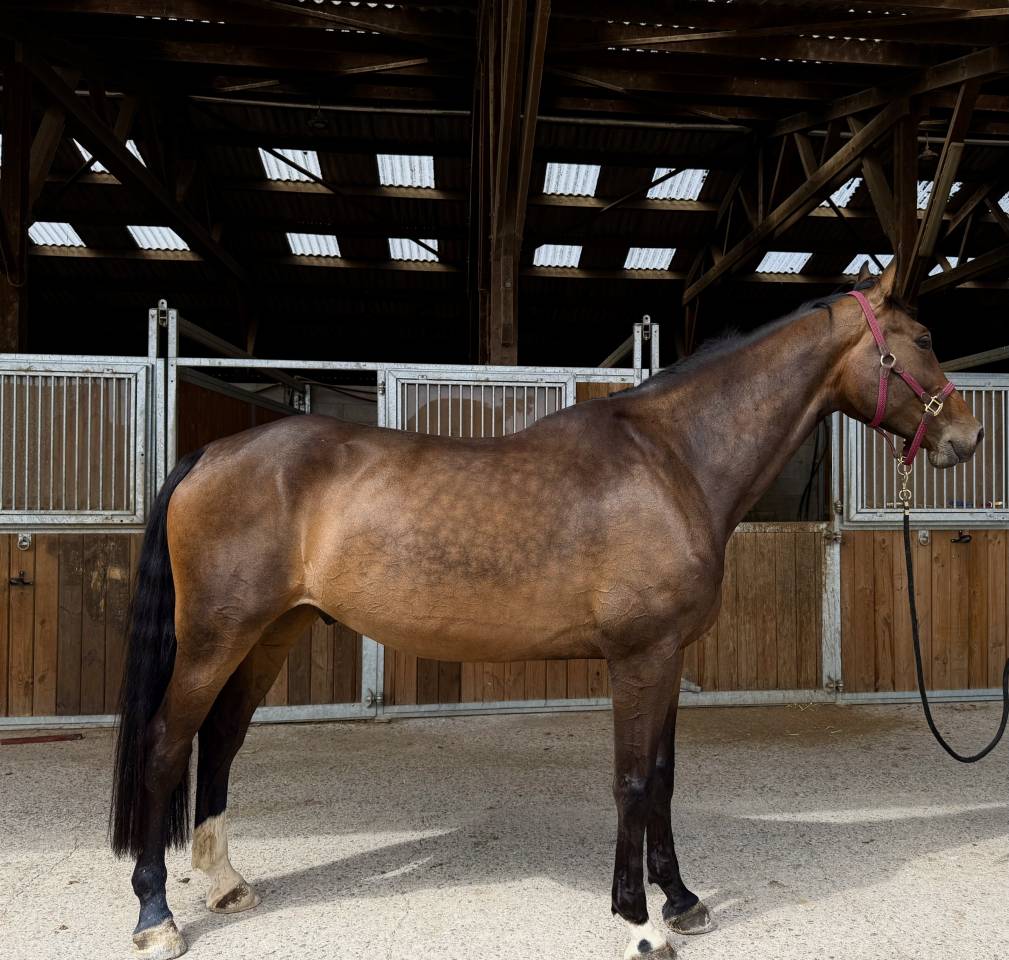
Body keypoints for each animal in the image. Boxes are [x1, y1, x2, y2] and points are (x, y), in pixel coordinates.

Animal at [110, 260, 982, 960]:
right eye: (923, 337)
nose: (968, 437)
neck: (674, 461)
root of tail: (211, 455)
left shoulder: (668, 659)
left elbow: (662, 778)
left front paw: (682, 901)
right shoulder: (638, 658)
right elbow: (631, 781)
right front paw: (638, 923)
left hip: (270, 632)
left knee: (221, 741)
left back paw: (224, 882)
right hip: (214, 637)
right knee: (166, 744)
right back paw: (157, 916)